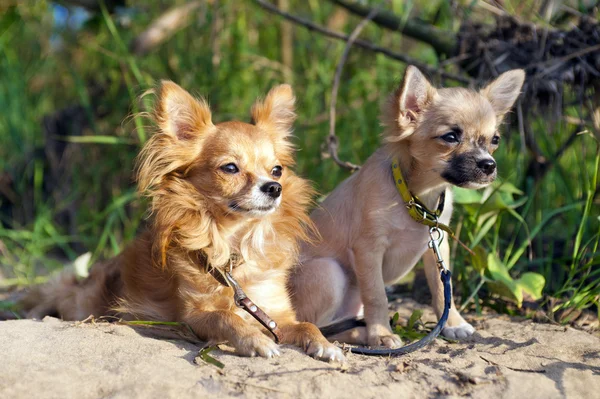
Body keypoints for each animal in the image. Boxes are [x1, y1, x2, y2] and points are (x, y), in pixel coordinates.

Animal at [292, 65, 524, 346]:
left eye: (495, 140)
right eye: (450, 137)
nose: (489, 165)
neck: (418, 197)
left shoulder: (437, 245)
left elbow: (441, 288)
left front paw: (453, 323)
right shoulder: (368, 249)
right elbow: (377, 296)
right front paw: (381, 334)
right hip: (328, 272)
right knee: (314, 326)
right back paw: (364, 334)